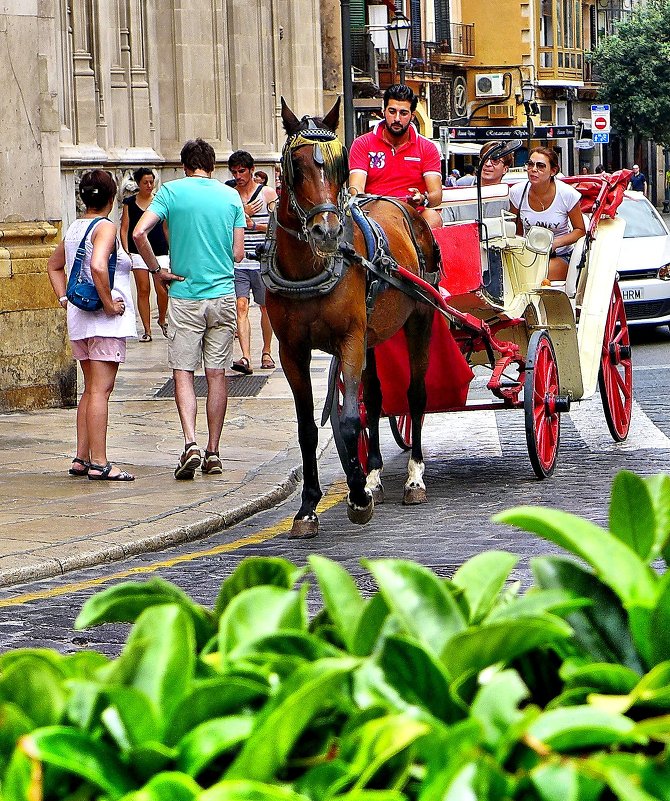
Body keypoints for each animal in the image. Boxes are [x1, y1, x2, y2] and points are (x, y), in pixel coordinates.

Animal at [266, 100, 438, 536]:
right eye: (295, 164)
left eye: (339, 164)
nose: (326, 232)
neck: (308, 269)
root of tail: (403, 206)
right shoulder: (292, 351)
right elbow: (310, 428)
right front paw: (308, 506)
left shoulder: (349, 338)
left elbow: (345, 422)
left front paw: (358, 498)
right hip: (373, 335)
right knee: (374, 398)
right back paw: (374, 474)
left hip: (420, 318)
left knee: (416, 394)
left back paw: (414, 477)